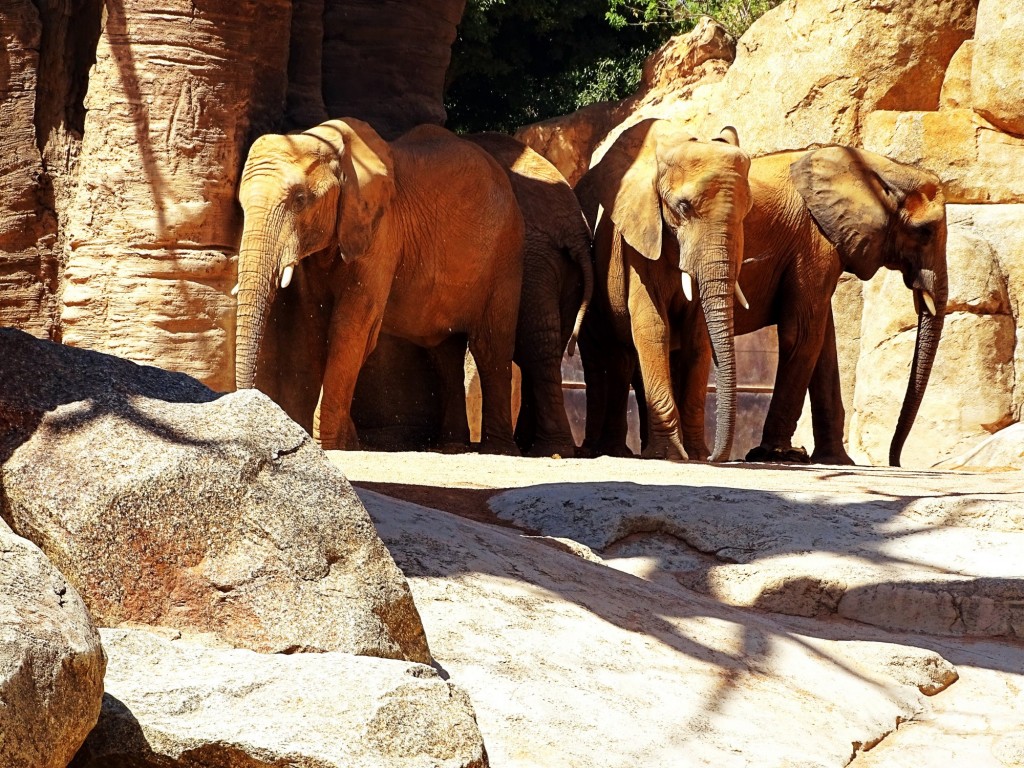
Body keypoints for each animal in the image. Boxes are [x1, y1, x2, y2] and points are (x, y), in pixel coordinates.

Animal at [233, 118, 526, 453]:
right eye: (241, 205)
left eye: (300, 199)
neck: (334, 147)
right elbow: (317, 326)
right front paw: (349, 440)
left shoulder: (382, 232)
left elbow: (351, 325)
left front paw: (331, 445)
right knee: (446, 353)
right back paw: (451, 447)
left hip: (506, 253)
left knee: (490, 347)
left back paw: (500, 450)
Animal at [575, 118, 752, 462]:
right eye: (682, 207)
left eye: (748, 209)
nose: (717, 457)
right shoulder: (638, 236)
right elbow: (652, 326)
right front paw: (671, 455)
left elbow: (698, 337)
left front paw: (695, 454)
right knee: (609, 360)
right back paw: (609, 451)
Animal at [668, 146, 947, 466]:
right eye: (924, 232)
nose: (895, 462)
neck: (878, 166)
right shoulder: (814, 242)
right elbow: (802, 334)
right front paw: (775, 454)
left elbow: (824, 342)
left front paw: (836, 461)